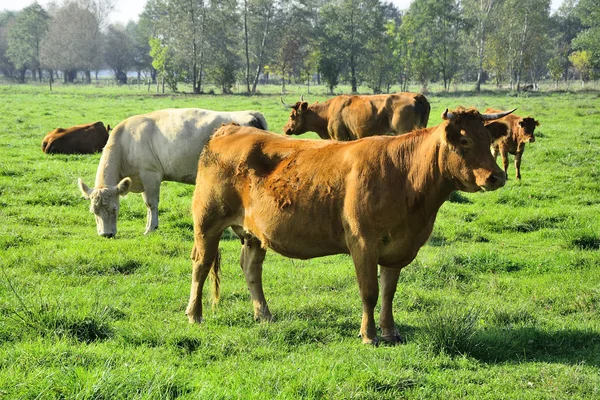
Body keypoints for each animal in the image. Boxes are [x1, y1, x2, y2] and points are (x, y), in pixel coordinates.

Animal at [77, 107, 268, 238]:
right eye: (93, 212)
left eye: (115, 209)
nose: (106, 235)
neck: (125, 143)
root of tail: (250, 114)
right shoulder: (143, 179)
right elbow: (147, 204)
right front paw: (149, 226)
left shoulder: (151, 174)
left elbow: (152, 204)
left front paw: (151, 228)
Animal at [185, 108, 512, 346]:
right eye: (465, 141)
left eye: (488, 140)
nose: (497, 177)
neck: (405, 175)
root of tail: (229, 127)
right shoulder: (363, 243)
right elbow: (369, 292)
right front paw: (369, 336)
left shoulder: (398, 247)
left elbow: (388, 292)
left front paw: (390, 332)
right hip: (207, 222)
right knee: (201, 265)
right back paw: (194, 315)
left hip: (254, 233)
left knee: (251, 269)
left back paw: (264, 315)